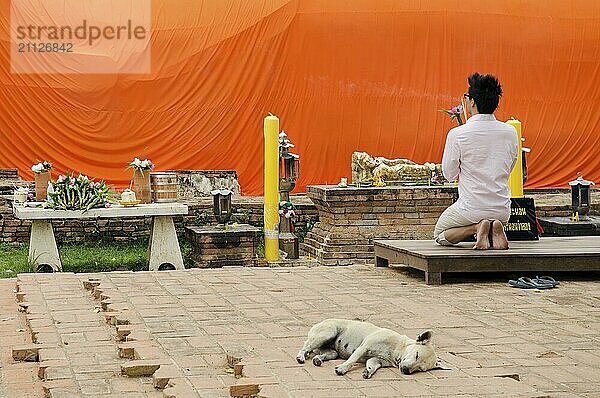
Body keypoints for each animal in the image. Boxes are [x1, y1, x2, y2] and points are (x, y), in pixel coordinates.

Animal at [298, 318, 438, 378]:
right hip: (327, 333)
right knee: (305, 347)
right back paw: (301, 356)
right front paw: (342, 368)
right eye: (416, 355)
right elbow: (351, 361)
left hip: (331, 351)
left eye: (420, 369)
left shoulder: (376, 360)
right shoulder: (363, 348)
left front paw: (368, 371)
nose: (406, 371)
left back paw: (318, 359)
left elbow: (372, 366)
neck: (397, 348)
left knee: (323, 353)